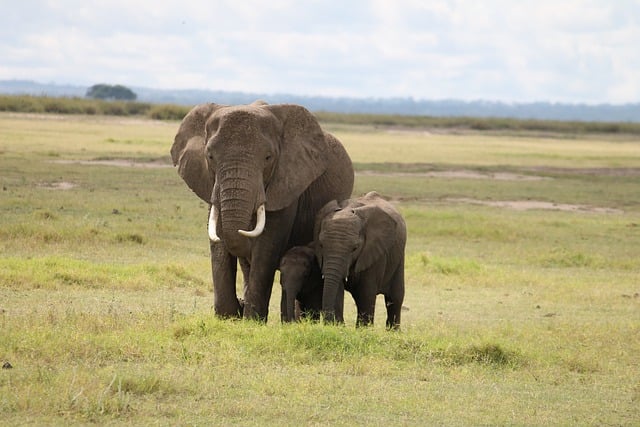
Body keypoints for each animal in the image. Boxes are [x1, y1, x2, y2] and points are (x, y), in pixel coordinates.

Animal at [170, 101, 356, 320]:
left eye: (268, 157)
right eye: (210, 156)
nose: (240, 304)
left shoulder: (287, 184)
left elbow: (267, 246)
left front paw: (251, 319)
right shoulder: (210, 184)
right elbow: (218, 241)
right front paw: (228, 317)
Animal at [314, 192, 404, 330]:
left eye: (355, 248)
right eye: (321, 245)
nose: (327, 324)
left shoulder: (374, 253)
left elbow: (366, 293)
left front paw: (363, 330)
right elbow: (338, 289)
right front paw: (339, 327)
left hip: (398, 257)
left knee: (395, 298)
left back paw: (393, 332)